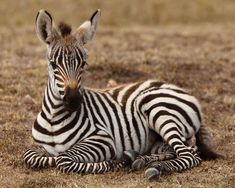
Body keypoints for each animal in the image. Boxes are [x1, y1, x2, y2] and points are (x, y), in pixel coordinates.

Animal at [23, 9, 219, 180]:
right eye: (53, 64)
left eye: (83, 64)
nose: (73, 101)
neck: (54, 118)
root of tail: (179, 89)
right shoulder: (39, 146)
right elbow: (30, 155)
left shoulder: (102, 139)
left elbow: (63, 159)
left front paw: (117, 161)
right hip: (158, 140)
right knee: (182, 150)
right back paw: (141, 160)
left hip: (157, 108)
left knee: (190, 155)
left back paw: (155, 167)